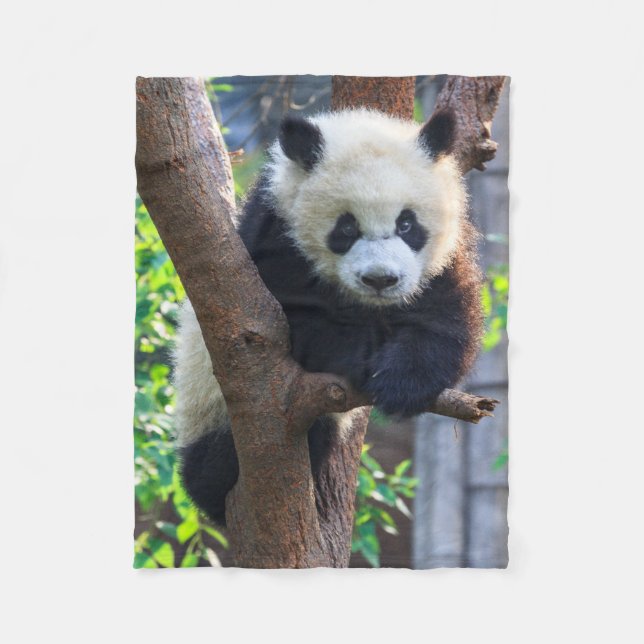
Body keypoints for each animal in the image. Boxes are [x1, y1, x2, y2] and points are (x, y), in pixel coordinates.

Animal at [172, 108, 483, 526]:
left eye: (407, 224)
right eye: (346, 227)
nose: (380, 279)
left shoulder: (442, 260)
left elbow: (444, 321)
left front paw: (401, 383)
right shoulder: (272, 242)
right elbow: (291, 325)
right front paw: (362, 358)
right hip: (208, 411)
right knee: (218, 466)